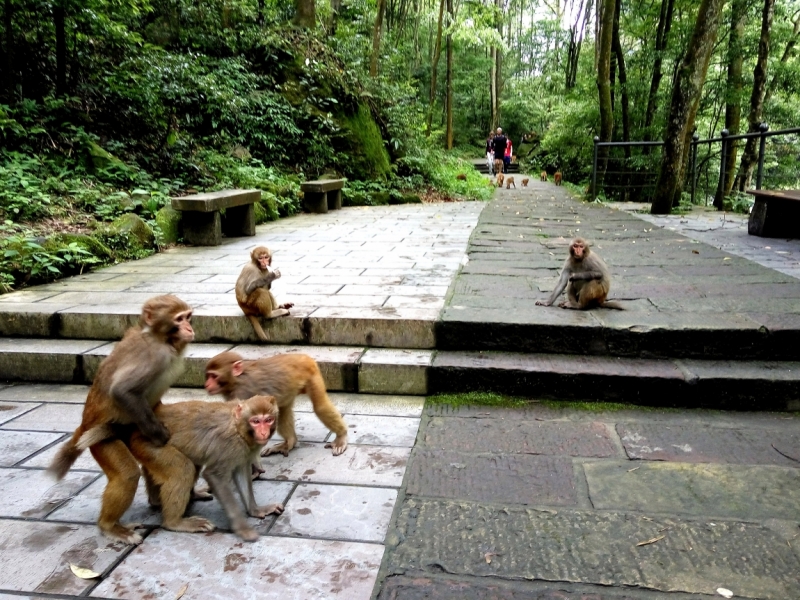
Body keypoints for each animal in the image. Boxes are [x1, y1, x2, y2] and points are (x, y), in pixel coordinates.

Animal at [46, 294, 206, 544]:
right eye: (179, 319)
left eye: (188, 317)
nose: (189, 328)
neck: (159, 337)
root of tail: (85, 423)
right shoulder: (155, 355)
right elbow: (123, 391)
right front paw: (161, 435)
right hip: (101, 443)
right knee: (129, 475)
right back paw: (112, 526)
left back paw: (158, 501)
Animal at [80, 396, 282, 540]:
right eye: (256, 421)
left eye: (269, 420)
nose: (263, 432)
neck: (239, 428)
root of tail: (136, 428)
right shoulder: (228, 445)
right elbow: (214, 476)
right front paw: (242, 528)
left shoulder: (242, 451)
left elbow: (240, 472)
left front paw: (255, 510)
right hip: (148, 445)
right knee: (182, 469)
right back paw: (173, 522)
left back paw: (164, 500)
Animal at [203, 350, 346, 458]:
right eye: (208, 376)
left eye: (214, 376)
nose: (207, 385)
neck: (236, 380)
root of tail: (304, 357)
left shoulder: (242, 393)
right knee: (282, 411)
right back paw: (289, 442)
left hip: (312, 375)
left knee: (319, 407)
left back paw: (341, 436)